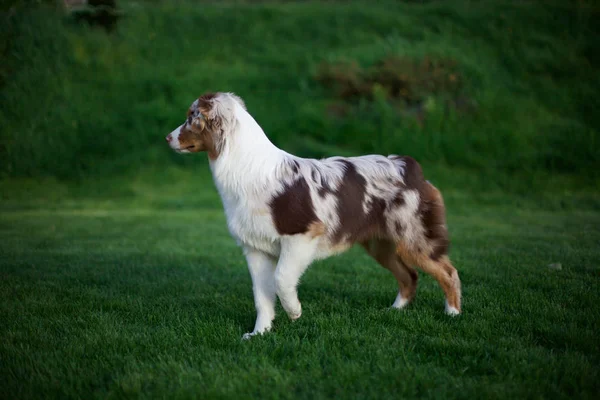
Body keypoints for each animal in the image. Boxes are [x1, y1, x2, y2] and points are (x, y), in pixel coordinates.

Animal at [166, 92, 462, 340]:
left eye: (191, 118)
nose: (167, 137)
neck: (245, 168)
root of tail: (409, 165)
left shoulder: (302, 235)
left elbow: (282, 279)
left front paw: (294, 311)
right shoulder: (255, 248)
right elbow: (261, 296)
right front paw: (259, 333)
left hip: (414, 238)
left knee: (448, 272)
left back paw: (452, 313)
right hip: (381, 244)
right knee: (409, 275)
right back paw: (395, 310)